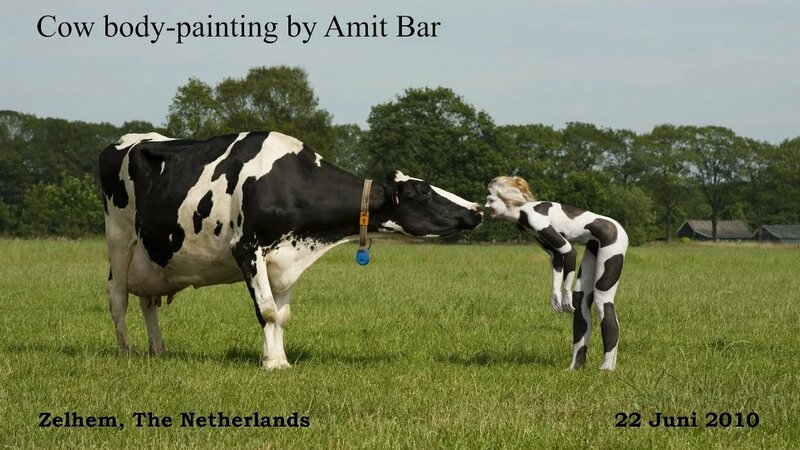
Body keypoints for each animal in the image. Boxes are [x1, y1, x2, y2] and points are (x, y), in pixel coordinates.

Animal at [99, 131, 483, 369]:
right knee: (118, 297)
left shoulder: (285, 258)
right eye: (424, 192)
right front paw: (272, 363)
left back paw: (158, 351)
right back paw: (125, 353)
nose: (476, 209)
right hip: (118, 237)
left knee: (148, 302)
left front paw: (279, 358)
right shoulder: (247, 248)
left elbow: (282, 316)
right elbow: (267, 311)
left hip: (152, 259)